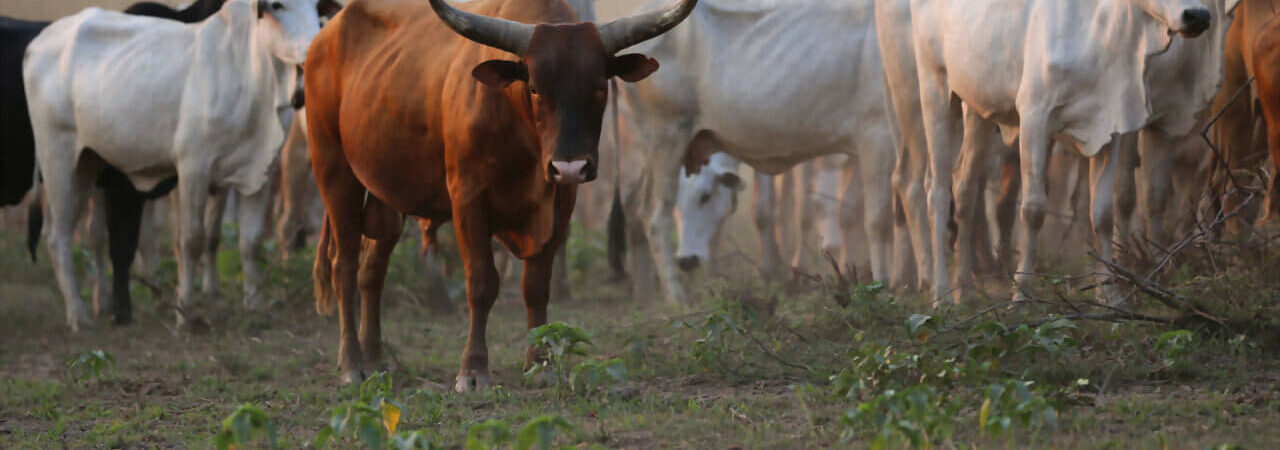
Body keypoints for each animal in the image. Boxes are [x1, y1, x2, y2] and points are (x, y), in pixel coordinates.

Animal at [26, 0, 320, 329]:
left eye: (316, 6)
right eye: (277, 5)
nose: (315, 48)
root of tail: (39, 42)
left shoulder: (260, 174)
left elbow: (251, 241)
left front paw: (254, 304)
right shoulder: (193, 170)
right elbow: (191, 241)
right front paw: (185, 313)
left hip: (87, 164)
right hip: (58, 158)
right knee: (59, 235)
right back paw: (79, 317)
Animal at [304, 0, 696, 388]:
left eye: (600, 85)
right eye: (535, 88)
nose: (570, 167)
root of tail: (326, 35)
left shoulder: (560, 203)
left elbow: (536, 285)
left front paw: (540, 362)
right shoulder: (467, 199)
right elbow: (482, 282)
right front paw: (473, 369)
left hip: (386, 193)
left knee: (372, 271)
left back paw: (376, 359)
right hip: (333, 170)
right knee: (344, 266)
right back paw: (352, 363)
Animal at [611, 0, 896, 305]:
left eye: (706, 197)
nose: (687, 260)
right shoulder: (877, 138)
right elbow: (879, 220)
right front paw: (885, 286)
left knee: (633, 208)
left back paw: (645, 296)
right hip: (665, 138)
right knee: (654, 217)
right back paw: (677, 299)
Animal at [906, 0, 1233, 305]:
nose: (1198, 16)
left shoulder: (1110, 130)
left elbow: (1102, 213)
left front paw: (1110, 295)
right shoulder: (1034, 117)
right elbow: (1033, 209)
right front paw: (1021, 293)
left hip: (978, 110)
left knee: (965, 189)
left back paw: (966, 290)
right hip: (935, 89)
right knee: (937, 191)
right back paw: (941, 293)